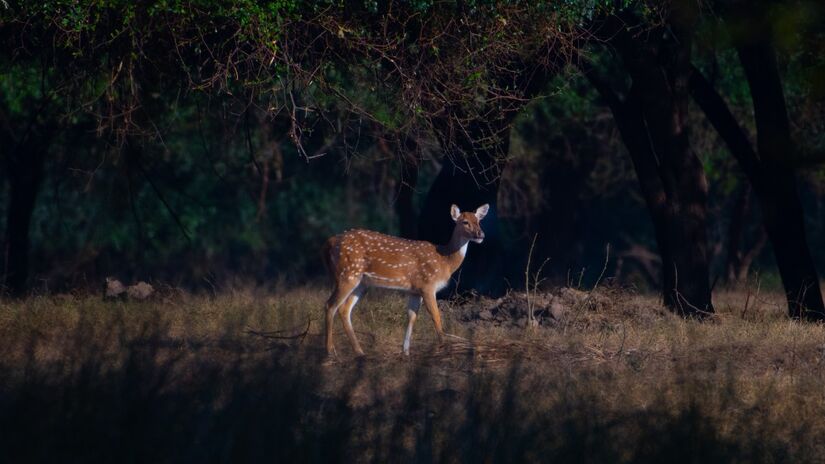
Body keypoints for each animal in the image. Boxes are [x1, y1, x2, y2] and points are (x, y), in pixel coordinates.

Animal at [322, 203, 489, 357]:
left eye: (479, 221)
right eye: (465, 222)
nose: (481, 234)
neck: (444, 261)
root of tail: (330, 241)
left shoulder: (415, 291)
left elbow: (411, 318)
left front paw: (406, 353)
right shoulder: (427, 285)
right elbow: (436, 318)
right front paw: (443, 350)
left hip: (361, 283)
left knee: (344, 309)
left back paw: (359, 352)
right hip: (347, 274)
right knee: (330, 305)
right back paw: (330, 351)